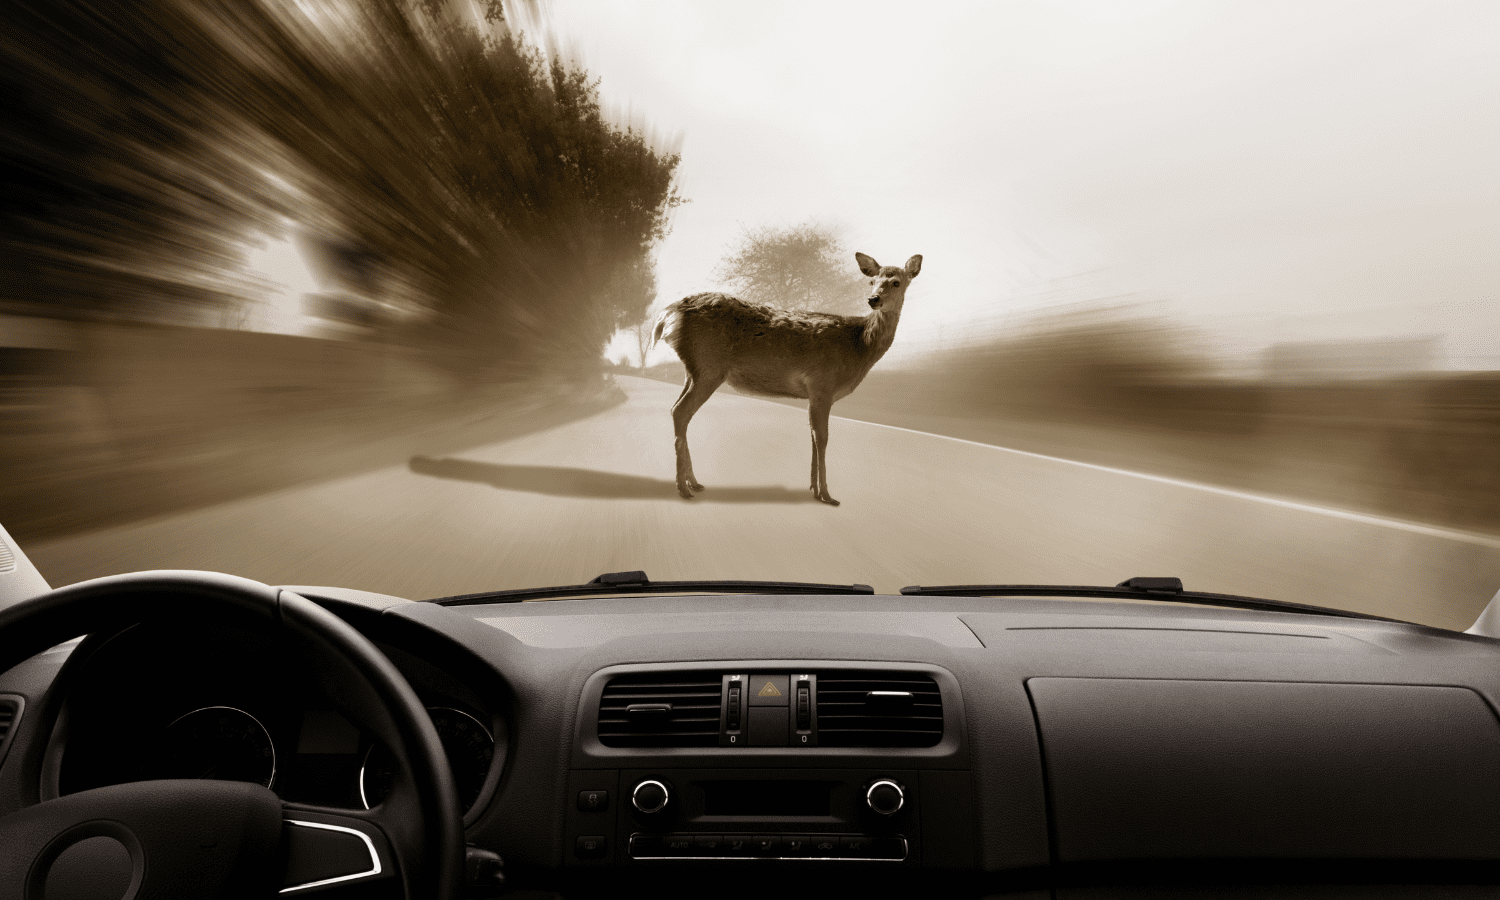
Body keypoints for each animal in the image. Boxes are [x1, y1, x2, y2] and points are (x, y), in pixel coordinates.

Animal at [650, 251, 921, 506]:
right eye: (872, 281)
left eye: (896, 282)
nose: (873, 299)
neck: (858, 345)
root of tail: (667, 314)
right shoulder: (822, 384)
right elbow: (822, 438)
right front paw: (827, 495)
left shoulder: (814, 393)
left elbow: (813, 435)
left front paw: (814, 489)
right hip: (709, 367)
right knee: (681, 411)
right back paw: (683, 488)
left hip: (694, 369)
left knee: (677, 409)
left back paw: (694, 483)